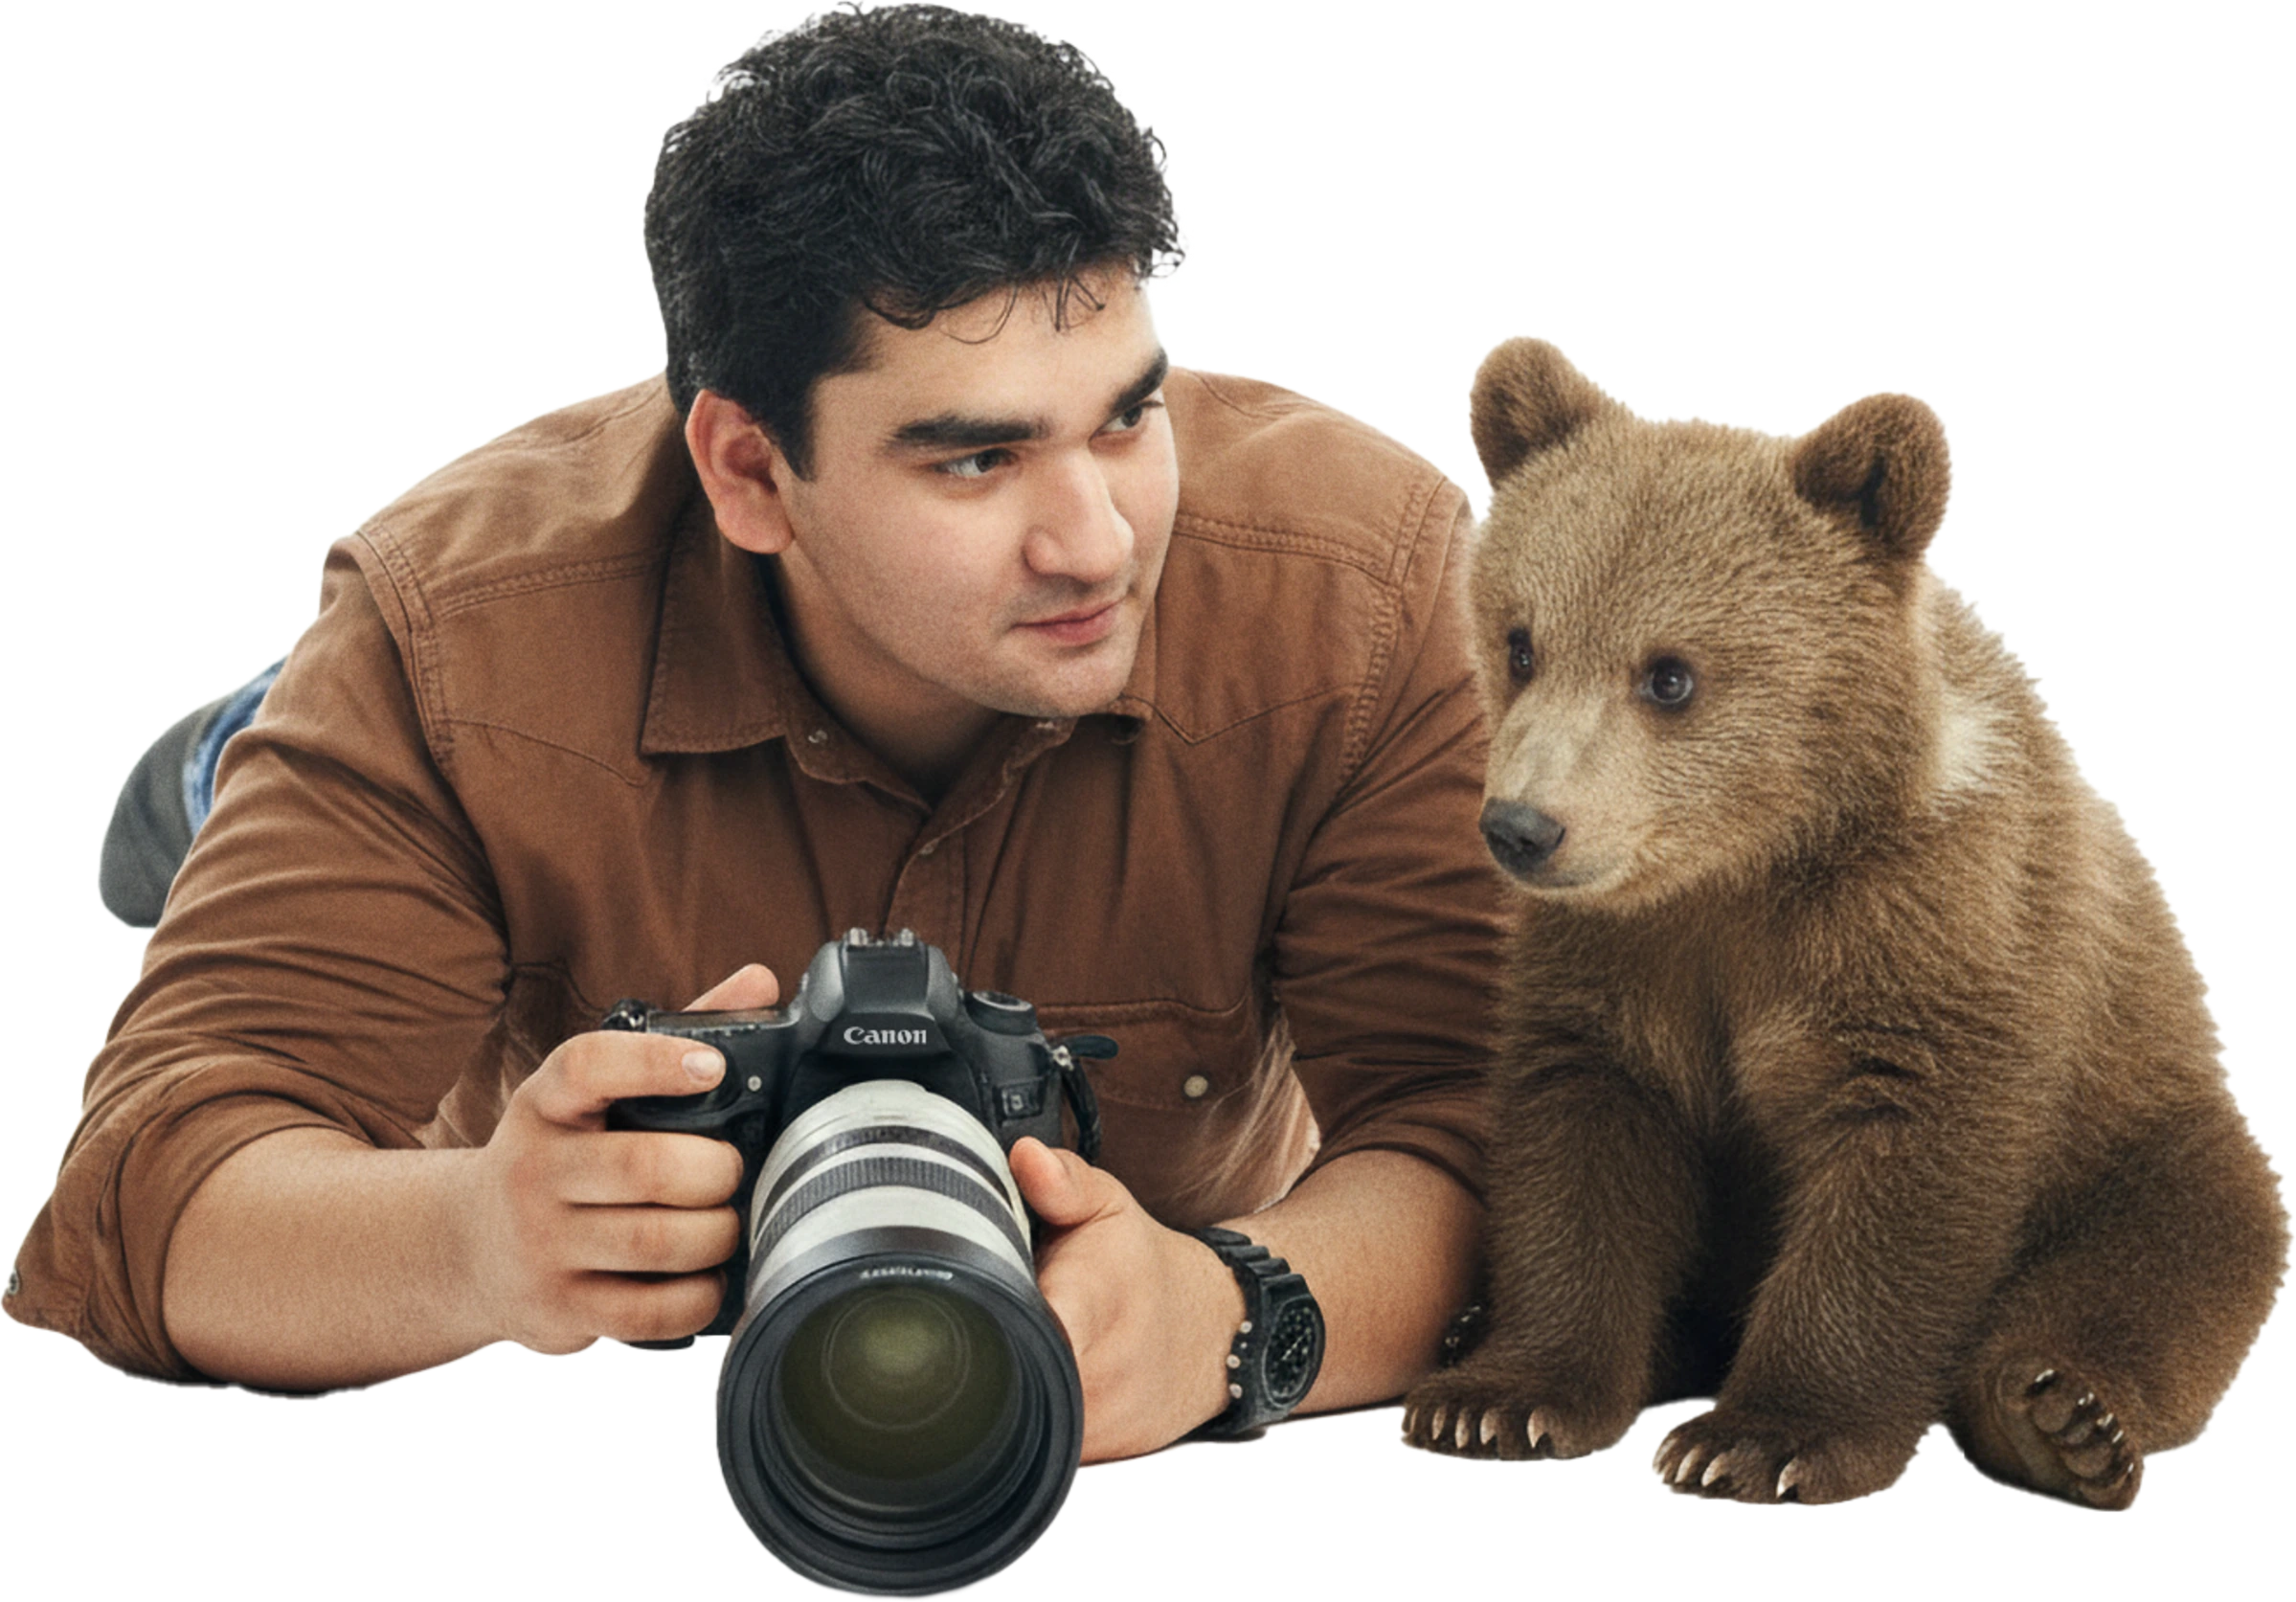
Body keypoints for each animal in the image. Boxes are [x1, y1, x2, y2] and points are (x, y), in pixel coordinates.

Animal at [1397, 335, 2290, 1508]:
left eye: (1670, 675)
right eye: (1520, 643)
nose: (1522, 828)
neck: (1747, 862)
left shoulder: (1929, 923)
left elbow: (1902, 1162)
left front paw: (1762, 1437)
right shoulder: (1618, 952)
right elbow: (1582, 1130)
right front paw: (1498, 1393)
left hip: (2140, 1120)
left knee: (2176, 1247)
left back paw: (2059, 1415)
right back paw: (1484, 1328)